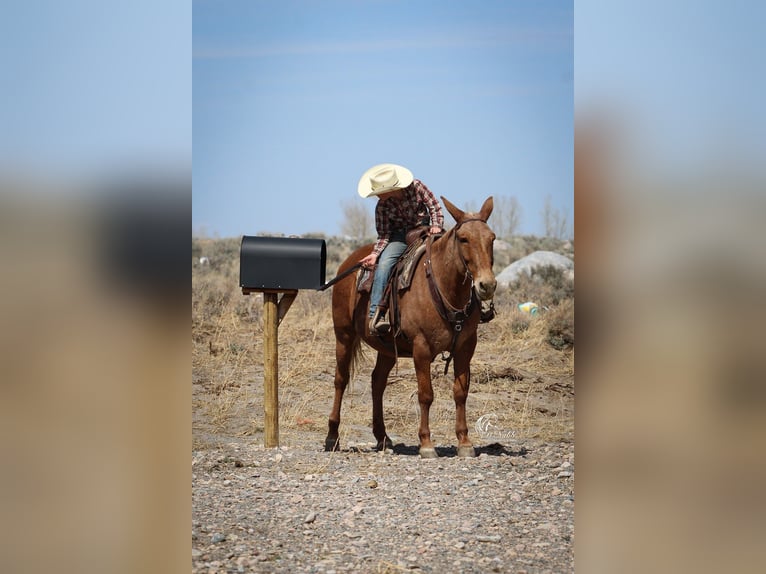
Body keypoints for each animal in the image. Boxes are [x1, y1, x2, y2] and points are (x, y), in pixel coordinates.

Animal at [325, 196, 497, 458]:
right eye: (463, 238)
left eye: (492, 238)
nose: (486, 285)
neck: (445, 287)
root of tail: (351, 262)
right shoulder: (421, 348)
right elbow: (426, 395)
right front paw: (426, 443)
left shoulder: (466, 348)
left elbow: (460, 393)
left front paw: (464, 442)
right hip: (343, 335)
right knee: (341, 380)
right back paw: (332, 437)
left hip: (386, 348)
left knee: (377, 383)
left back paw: (382, 437)